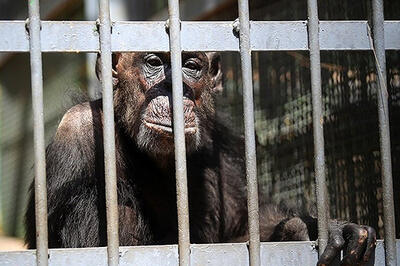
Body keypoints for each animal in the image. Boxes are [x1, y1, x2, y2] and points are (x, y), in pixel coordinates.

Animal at [24, 51, 376, 264]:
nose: (173, 89)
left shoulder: (221, 146)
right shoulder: (78, 129)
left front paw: (312, 228)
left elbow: (242, 229)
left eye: (190, 66)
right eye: (153, 62)